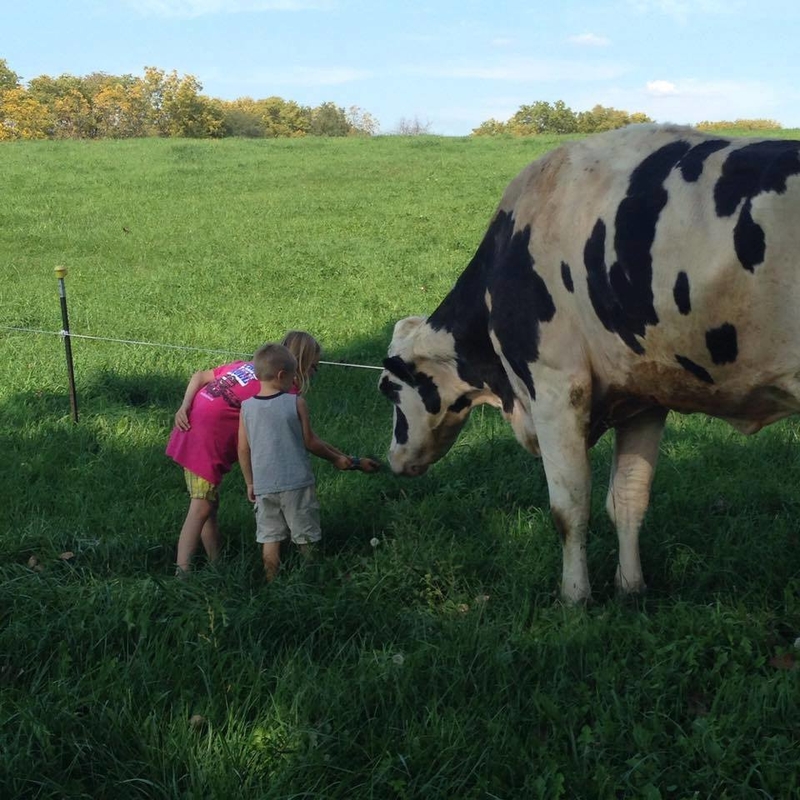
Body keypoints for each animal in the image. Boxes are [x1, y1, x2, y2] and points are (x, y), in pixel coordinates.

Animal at [378, 123, 800, 600]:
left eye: (388, 390)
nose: (391, 460)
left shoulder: (555, 388)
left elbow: (569, 507)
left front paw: (574, 597)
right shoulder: (644, 396)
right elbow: (628, 499)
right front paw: (631, 588)